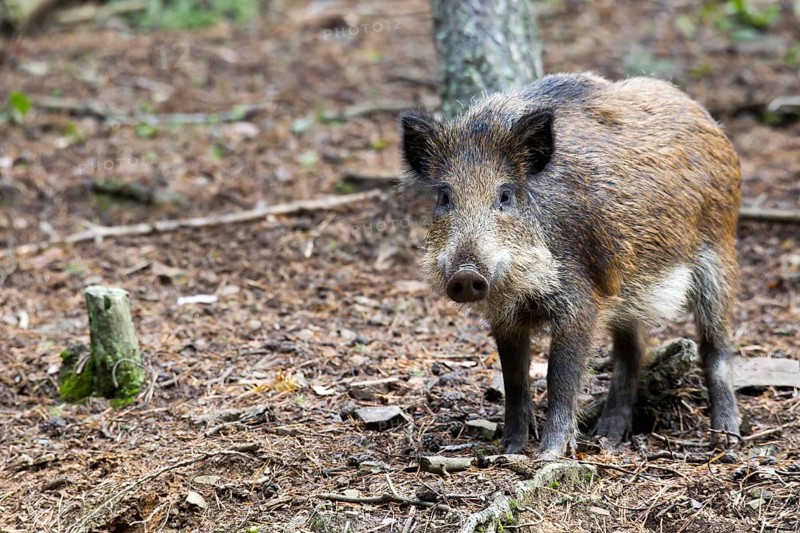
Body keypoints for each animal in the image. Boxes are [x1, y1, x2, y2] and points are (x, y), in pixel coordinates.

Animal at [398, 72, 741, 459]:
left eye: (505, 195)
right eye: (444, 196)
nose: (466, 274)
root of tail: (708, 120)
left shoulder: (581, 301)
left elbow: (560, 376)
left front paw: (549, 454)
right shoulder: (505, 316)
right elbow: (514, 379)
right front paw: (510, 449)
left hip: (718, 254)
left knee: (715, 344)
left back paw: (726, 437)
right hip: (628, 289)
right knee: (633, 350)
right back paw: (608, 437)